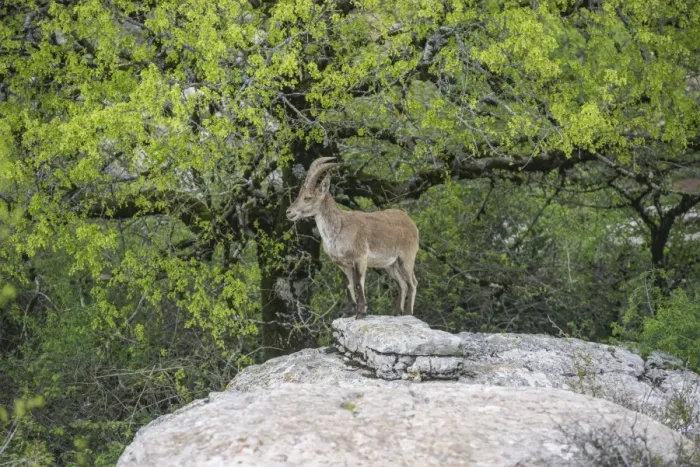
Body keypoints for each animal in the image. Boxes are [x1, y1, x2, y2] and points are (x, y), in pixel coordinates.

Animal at [286, 157, 419, 318]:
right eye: (299, 195)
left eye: (307, 198)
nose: (289, 212)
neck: (339, 227)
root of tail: (411, 222)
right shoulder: (343, 264)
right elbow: (347, 284)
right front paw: (348, 311)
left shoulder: (360, 259)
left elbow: (358, 283)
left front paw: (361, 312)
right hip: (390, 265)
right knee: (402, 284)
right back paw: (396, 313)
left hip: (406, 258)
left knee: (412, 283)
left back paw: (408, 313)